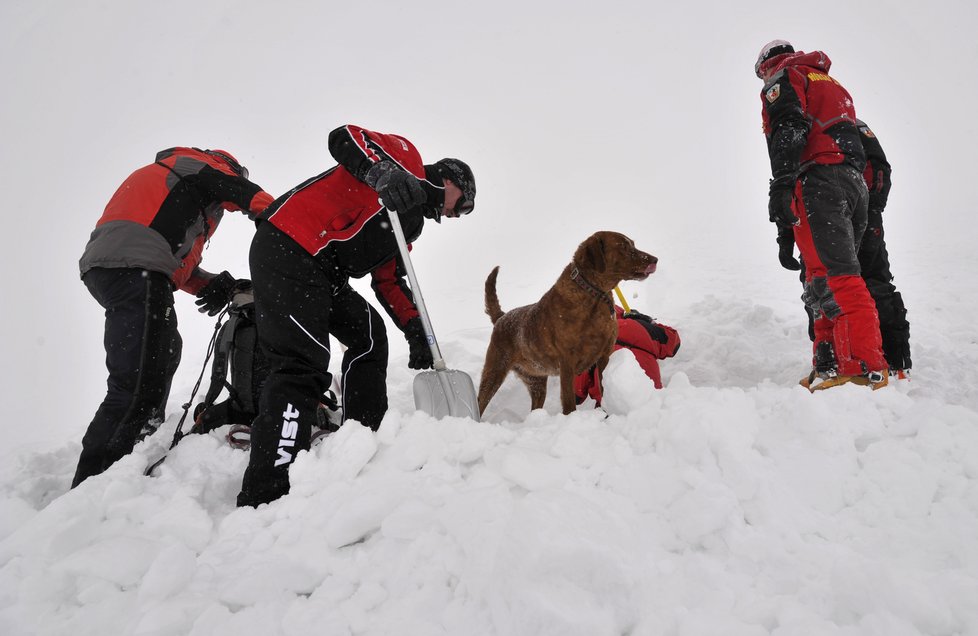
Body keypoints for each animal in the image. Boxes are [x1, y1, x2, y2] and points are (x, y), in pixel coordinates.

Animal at [478, 231, 660, 414]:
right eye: (623, 246)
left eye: (633, 244)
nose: (655, 259)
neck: (595, 294)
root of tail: (501, 317)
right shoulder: (567, 364)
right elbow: (569, 402)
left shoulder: (604, 356)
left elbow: (603, 389)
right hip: (495, 370)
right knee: (480, 401)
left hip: (536, 381)